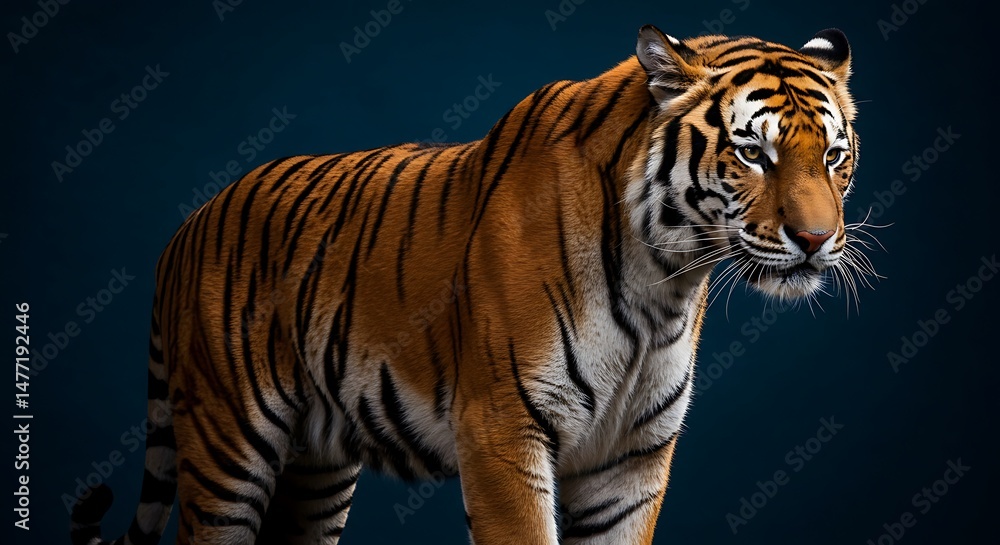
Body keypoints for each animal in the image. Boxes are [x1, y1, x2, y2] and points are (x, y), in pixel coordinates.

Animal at [70, 23, 861, 545]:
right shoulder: (502, 430)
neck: (664, 283)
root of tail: (187, 225)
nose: (817, 240)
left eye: (833, 155)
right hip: (227, 449)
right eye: (753, 154)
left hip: (315, 469)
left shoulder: (633, 458)